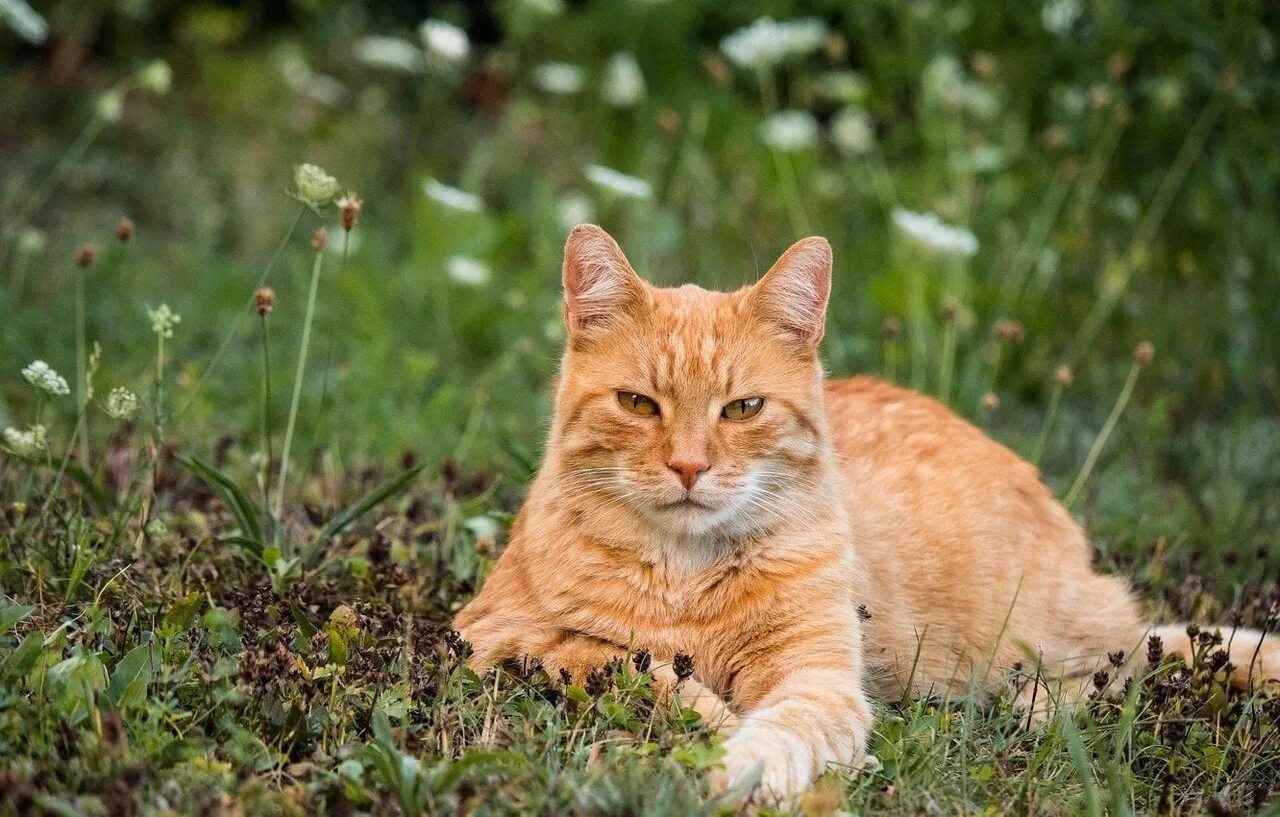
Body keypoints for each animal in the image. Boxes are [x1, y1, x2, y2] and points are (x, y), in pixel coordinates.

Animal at [453, 227, 1280, 804]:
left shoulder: (818, 679)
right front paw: (706, 725)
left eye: (743, 408)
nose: (689, 467)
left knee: (1122, 660)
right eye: (637, 403)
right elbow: (631, 665)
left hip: (1039, 629)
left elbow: (775, 732)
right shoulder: (496, 635)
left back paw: (1038, 707)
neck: (687, 576)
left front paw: (735, 767)